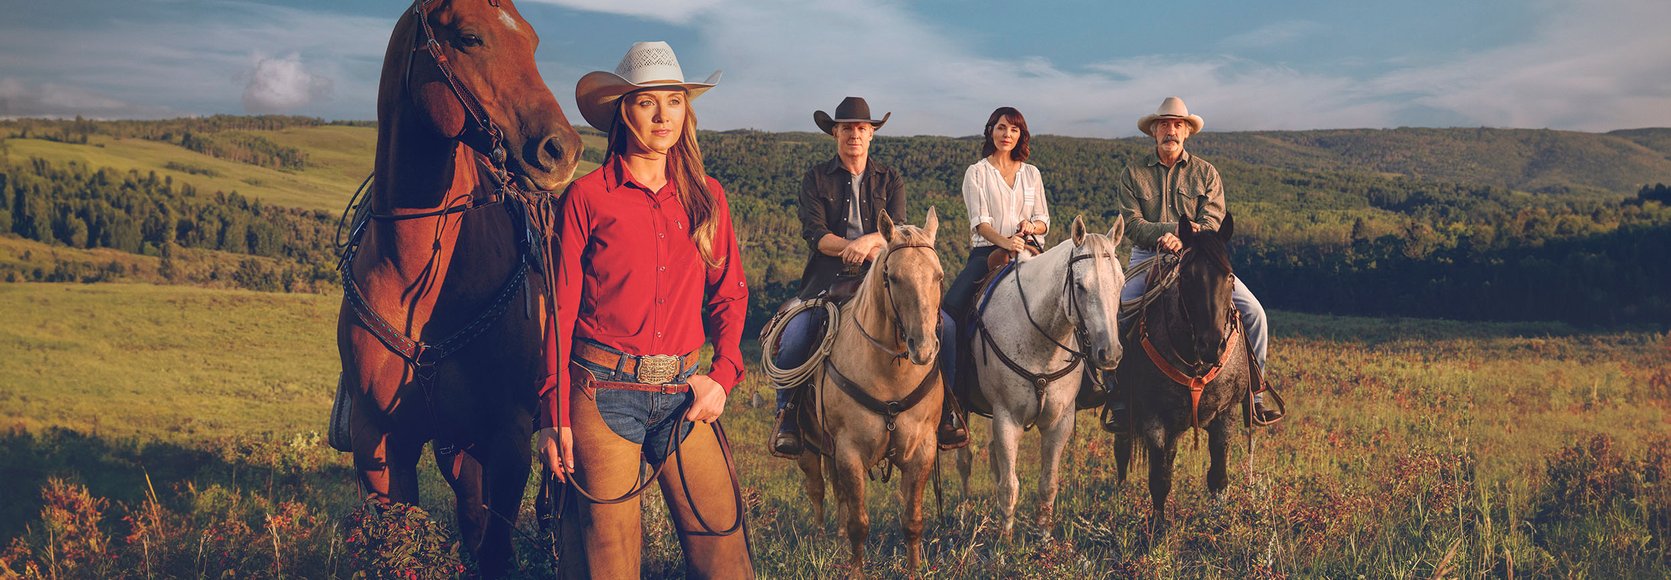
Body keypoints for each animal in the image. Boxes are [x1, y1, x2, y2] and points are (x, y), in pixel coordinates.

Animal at [332, 0, 581, 574]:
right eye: (469, 37)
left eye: (532, 40)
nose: (562, 149)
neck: (415, 280)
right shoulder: (382, 444)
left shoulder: (509, 439)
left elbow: (495, 552)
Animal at [792, 208, 942, 578]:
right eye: (893, 278)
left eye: (938, 276)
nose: (924, 349)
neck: (890, 374)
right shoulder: (850, 450)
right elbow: (860, 523)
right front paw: (856, 570)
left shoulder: (922, 449)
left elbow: (912, 521)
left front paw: (914, 570)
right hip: (808, 446)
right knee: (818, 490)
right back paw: (821, 541)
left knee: (838, 494)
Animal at [955, 215, 1122, 538]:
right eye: (1080, 286)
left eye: (1120, 282)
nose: (1109, 354)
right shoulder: (1007, 418)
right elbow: (1010, 486)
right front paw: (1005, 543)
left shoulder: (1060, 422)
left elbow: (1048, 484)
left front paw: (1044, 538)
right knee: (965, 462)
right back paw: (964, 517)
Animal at [1109, 215, 1256, 538]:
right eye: (1187, 277)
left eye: (1229, 276)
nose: (1212, 344)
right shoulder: (1154, 419)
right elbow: (1159, 480)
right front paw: (1157, 531)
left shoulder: (1225, 415)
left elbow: (1218, 476)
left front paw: (1218, 523)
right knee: (1122, 452)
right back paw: (1120, 497)